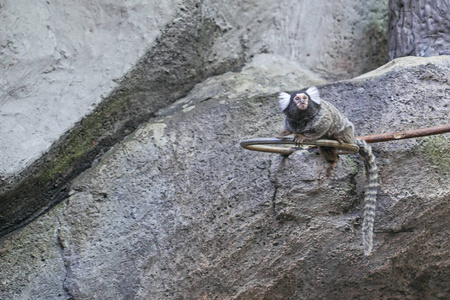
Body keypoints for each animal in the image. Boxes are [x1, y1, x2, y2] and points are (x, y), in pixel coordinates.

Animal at [280, 86, 378, 255]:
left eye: (305, 98)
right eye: (296, 99)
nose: (302, 102)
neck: (302, 117)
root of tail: (352, 138)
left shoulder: (321, 117)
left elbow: (323, 126)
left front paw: (302, 136)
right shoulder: (290, 120)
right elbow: (288, 129)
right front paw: (286, 133)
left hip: (347, 132)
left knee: (335, 132)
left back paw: (339, 140)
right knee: (325, 147)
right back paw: (334, 161)